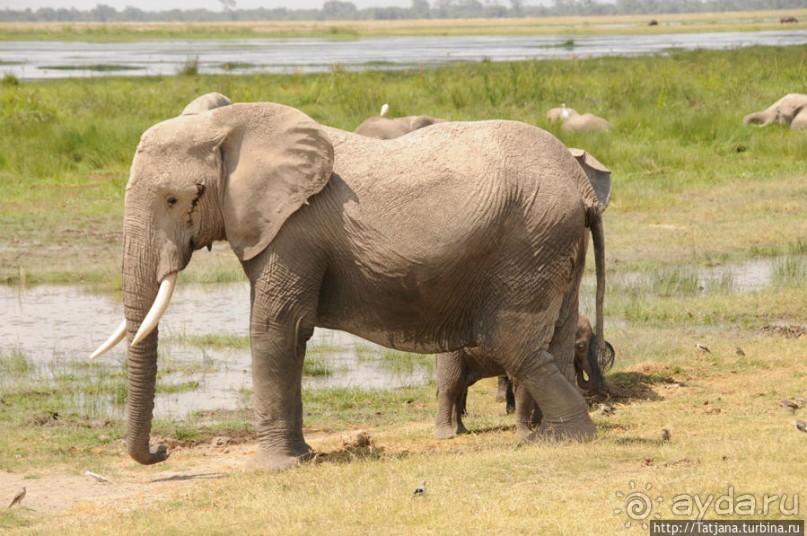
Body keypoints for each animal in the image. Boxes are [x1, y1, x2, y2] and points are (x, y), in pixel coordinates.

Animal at [438, 310, 616, 440]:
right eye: (580, 347)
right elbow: (523, 384)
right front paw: (526, 433)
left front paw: (538, 426)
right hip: (452, 354)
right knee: (451, 386)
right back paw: (447, 435)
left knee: (460, 387)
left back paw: (462, 430)